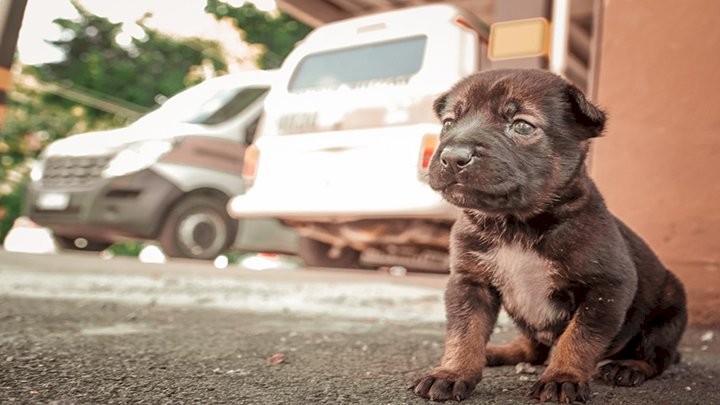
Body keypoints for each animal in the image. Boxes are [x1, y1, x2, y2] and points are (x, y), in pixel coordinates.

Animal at [410, 69, 688, 400]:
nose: (453, 157)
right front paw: (452, 373)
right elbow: (465, 332)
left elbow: (579, 337)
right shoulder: (469, 283)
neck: (515, 224)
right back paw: (500, 352)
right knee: (532, 348)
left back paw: (628, 366)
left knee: (657, 355)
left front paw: (562, 376)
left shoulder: (607, 287)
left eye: (521, 125)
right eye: (448, 123)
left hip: (669, 309)